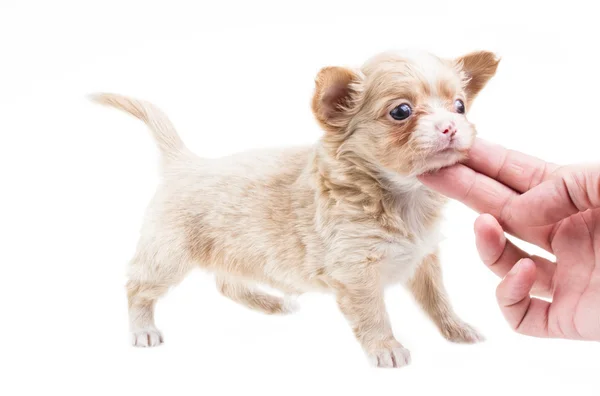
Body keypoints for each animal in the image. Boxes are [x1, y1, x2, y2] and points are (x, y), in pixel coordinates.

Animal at [91, 49, 500, 368]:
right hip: (168, 256)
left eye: (460, 106)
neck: (401, 196)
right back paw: (143, 329)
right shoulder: (356, 273)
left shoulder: (424, 259)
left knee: (226, 282)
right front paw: (386, 348)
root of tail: (185, 163)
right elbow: (374, 313)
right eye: (401, 111)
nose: (451, 127)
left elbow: (439, 300)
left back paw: (269, 304)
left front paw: (457, 329)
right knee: (137, 286)